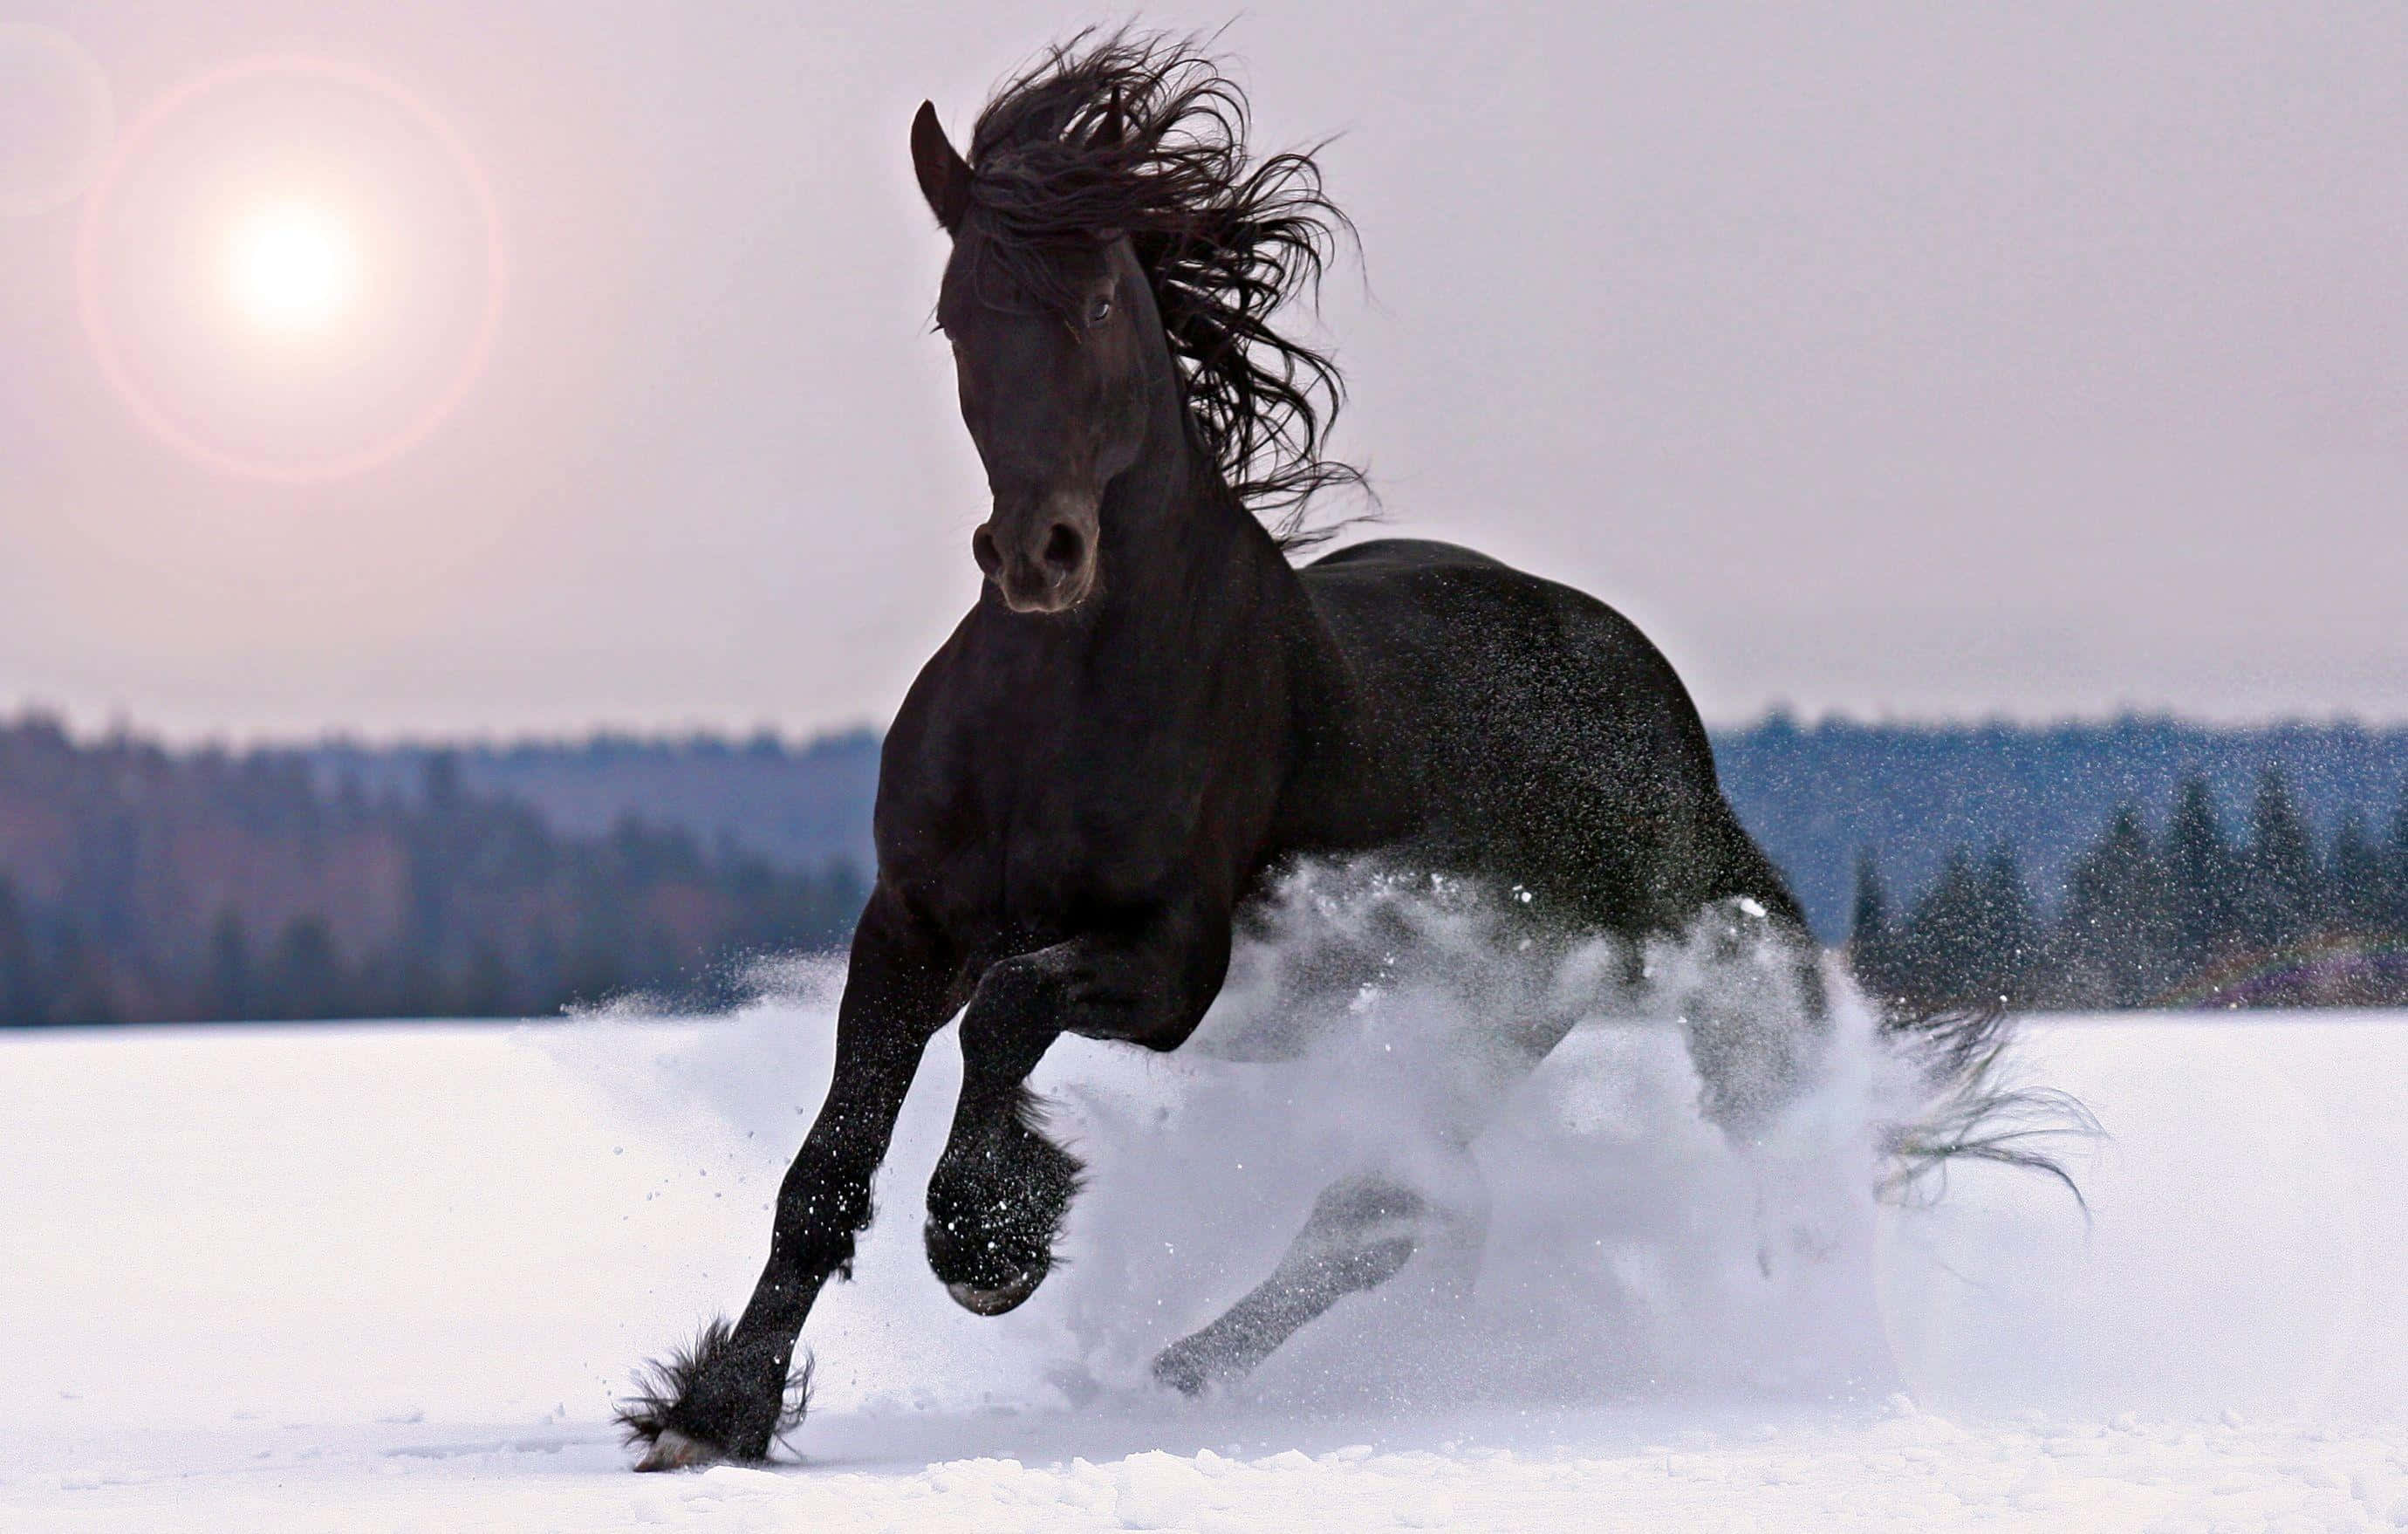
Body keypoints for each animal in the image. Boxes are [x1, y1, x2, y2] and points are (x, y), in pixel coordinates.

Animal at [620, 33, 1848, 1470]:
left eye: (1102, 299)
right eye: (954, 315)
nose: (1039, 555)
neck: (1059, 703)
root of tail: (1670, 731)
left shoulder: (1173, 962)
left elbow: (1009, 1011)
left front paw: (990, 1239)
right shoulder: (910, 927)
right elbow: (825, 1170)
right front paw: (713, 1411)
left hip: (1497, 1012)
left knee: (1382, 1208)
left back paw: (1175, 1374)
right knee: (1394, 1207)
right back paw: (1183, 1371)